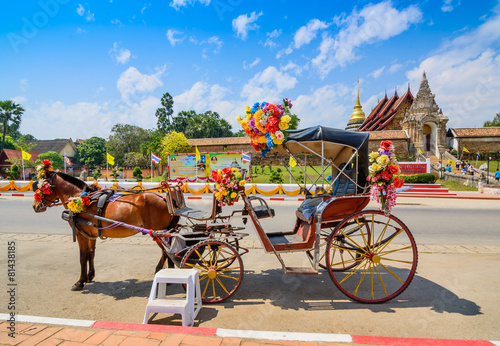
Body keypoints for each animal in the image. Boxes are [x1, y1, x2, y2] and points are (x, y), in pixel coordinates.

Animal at [32, 166, 179, 290]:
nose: (35, 206)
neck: (80, 199)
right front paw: (90, 276)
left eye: (42, 187)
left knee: (166, 252)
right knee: (168, 251)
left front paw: (80, 282)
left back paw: (163, 272)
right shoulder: (90, 234)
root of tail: (166, 199)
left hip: (158, 232)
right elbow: (91, 254)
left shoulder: (80, 234)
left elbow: (82, 257)